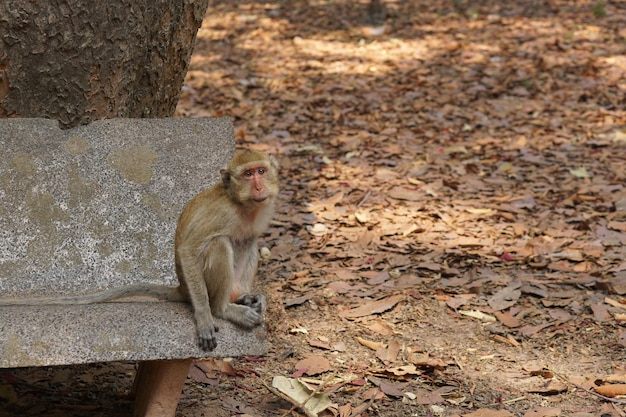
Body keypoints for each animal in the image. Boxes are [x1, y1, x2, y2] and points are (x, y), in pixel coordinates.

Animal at [0, 148, 278, 350]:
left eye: (261, 171)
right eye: (248, 174)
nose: (258, 186)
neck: (240, 204)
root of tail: (182, 287)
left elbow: (250, 238)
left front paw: (250, 297)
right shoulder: (221, 213)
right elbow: (189, 250)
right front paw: (204, 317)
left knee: (248, 242)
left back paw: (240, 297)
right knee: (220, 243)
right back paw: (223, 308)